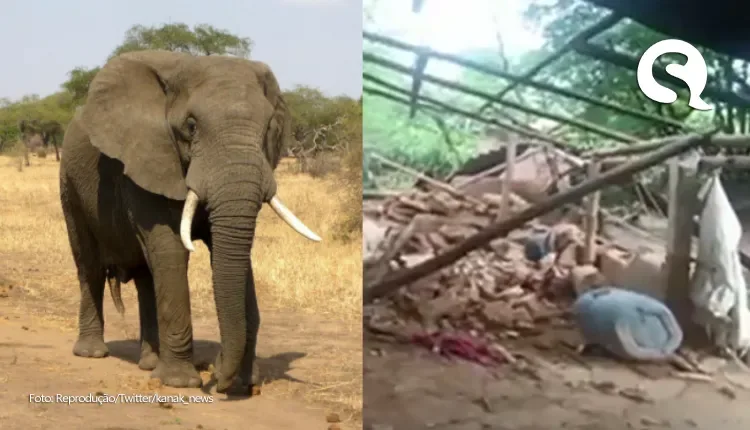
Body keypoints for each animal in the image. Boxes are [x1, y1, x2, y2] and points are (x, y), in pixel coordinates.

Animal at [59, 50, 322, 394]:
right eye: (192, 126)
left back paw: (149, 363)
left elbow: (230, 255)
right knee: (88, 264)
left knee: (146, 276)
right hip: (70, 183)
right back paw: (92, 353)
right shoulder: (148, 159)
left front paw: (243, 381)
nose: (218, 375)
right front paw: (180, 382)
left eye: (268, 128)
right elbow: (171, 249)